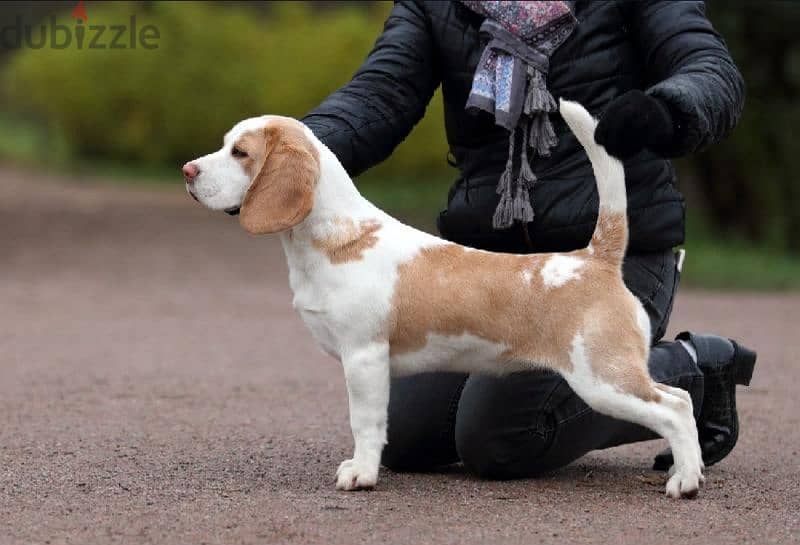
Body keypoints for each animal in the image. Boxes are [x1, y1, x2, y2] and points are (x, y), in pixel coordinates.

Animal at [184, 99, 704, 498]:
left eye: (240, 152)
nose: (188, 171)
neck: (340, 236)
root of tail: (595, 259)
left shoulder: (364, 357)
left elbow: (364, 423)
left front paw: (362, 474)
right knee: (681, 397)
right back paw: (690, 469)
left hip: (601, 380)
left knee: (674, 409)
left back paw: (685, 482)